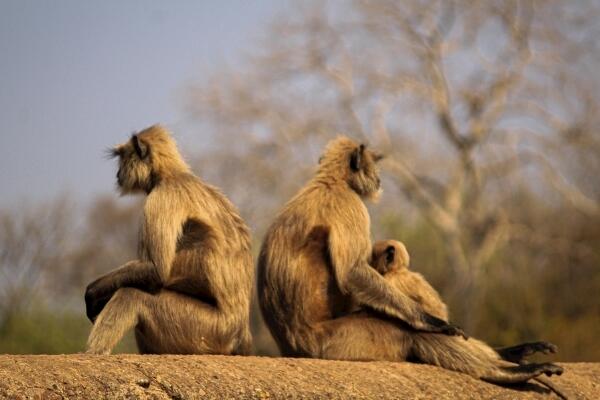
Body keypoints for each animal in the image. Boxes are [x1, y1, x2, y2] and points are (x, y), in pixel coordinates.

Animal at [84, 126, 253, 356]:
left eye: (123, 158)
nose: (118, 174)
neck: (171, 175)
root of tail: (239, 333)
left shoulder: (161, 198)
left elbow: (156, 270)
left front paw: (93, 292)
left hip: (204, 329)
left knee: (132, 294)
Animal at [256, 137, 564, 384]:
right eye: (374, 166)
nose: (379, 180)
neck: (332, 181)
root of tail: (293, 347)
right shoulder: (351, 205)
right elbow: (353, 272)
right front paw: (430, 321)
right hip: (342, 342)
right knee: (410, 333)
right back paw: (505, 372)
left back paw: (511, 355)